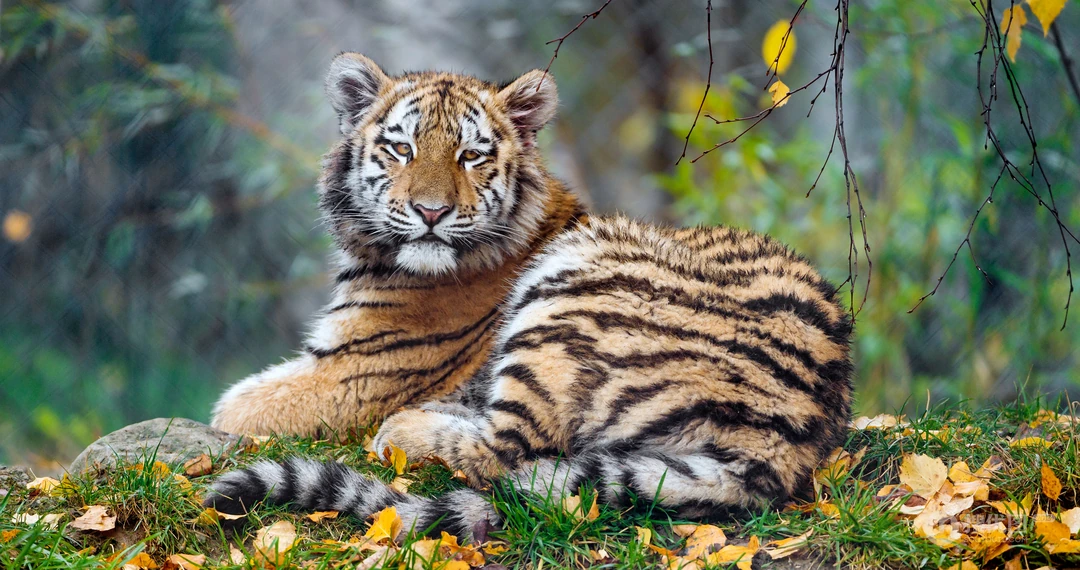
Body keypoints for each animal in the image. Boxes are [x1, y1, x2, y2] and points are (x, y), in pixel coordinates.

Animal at [205, 53, 854, 542]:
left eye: (471, 154)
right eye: (402, 149)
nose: (431, 212)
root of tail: (790, 441)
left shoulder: (354, 372)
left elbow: (234, 407)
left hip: (569, 286)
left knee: (506, 451)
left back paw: (405, 428)